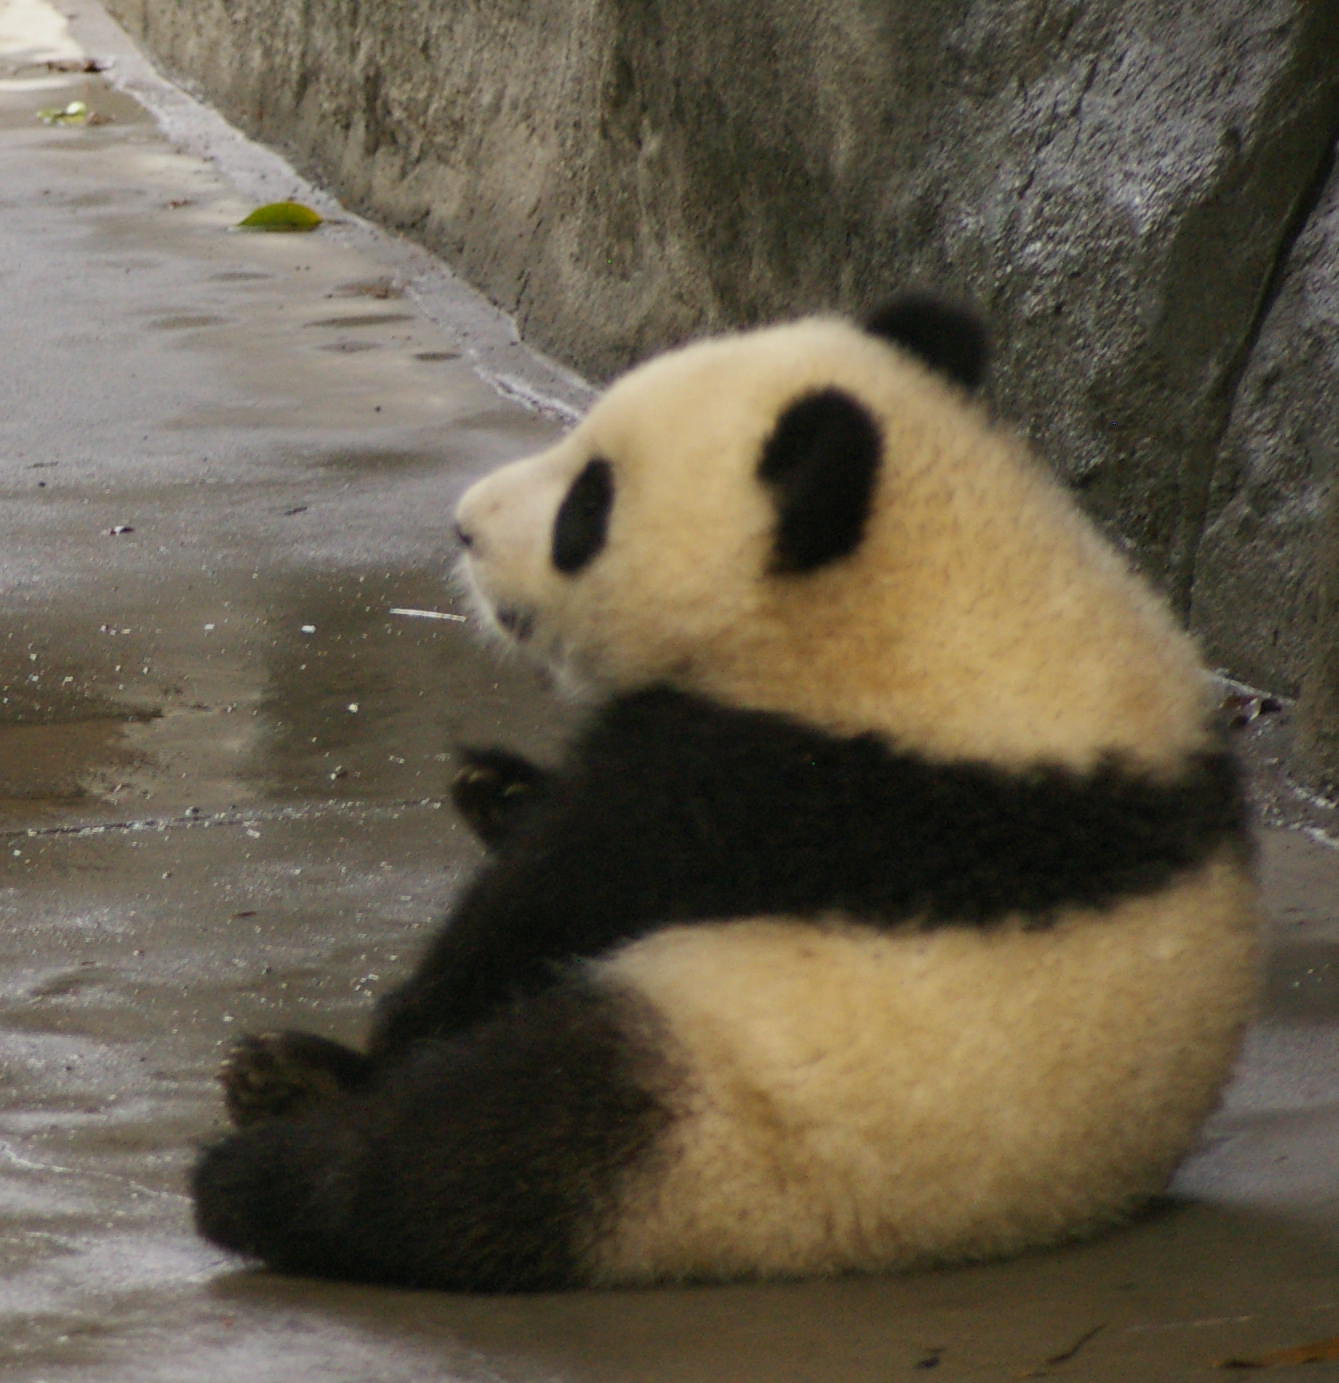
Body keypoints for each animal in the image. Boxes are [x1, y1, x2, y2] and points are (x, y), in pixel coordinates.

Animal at [191, 294, 1259, 1292]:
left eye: (587, 507)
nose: (463, 525)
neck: (941, 580)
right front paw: (497, 788)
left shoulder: (802, 781)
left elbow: (561, 894)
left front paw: (392, 1020)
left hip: (722, 1115)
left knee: (494, 1148)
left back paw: (264, 1157)